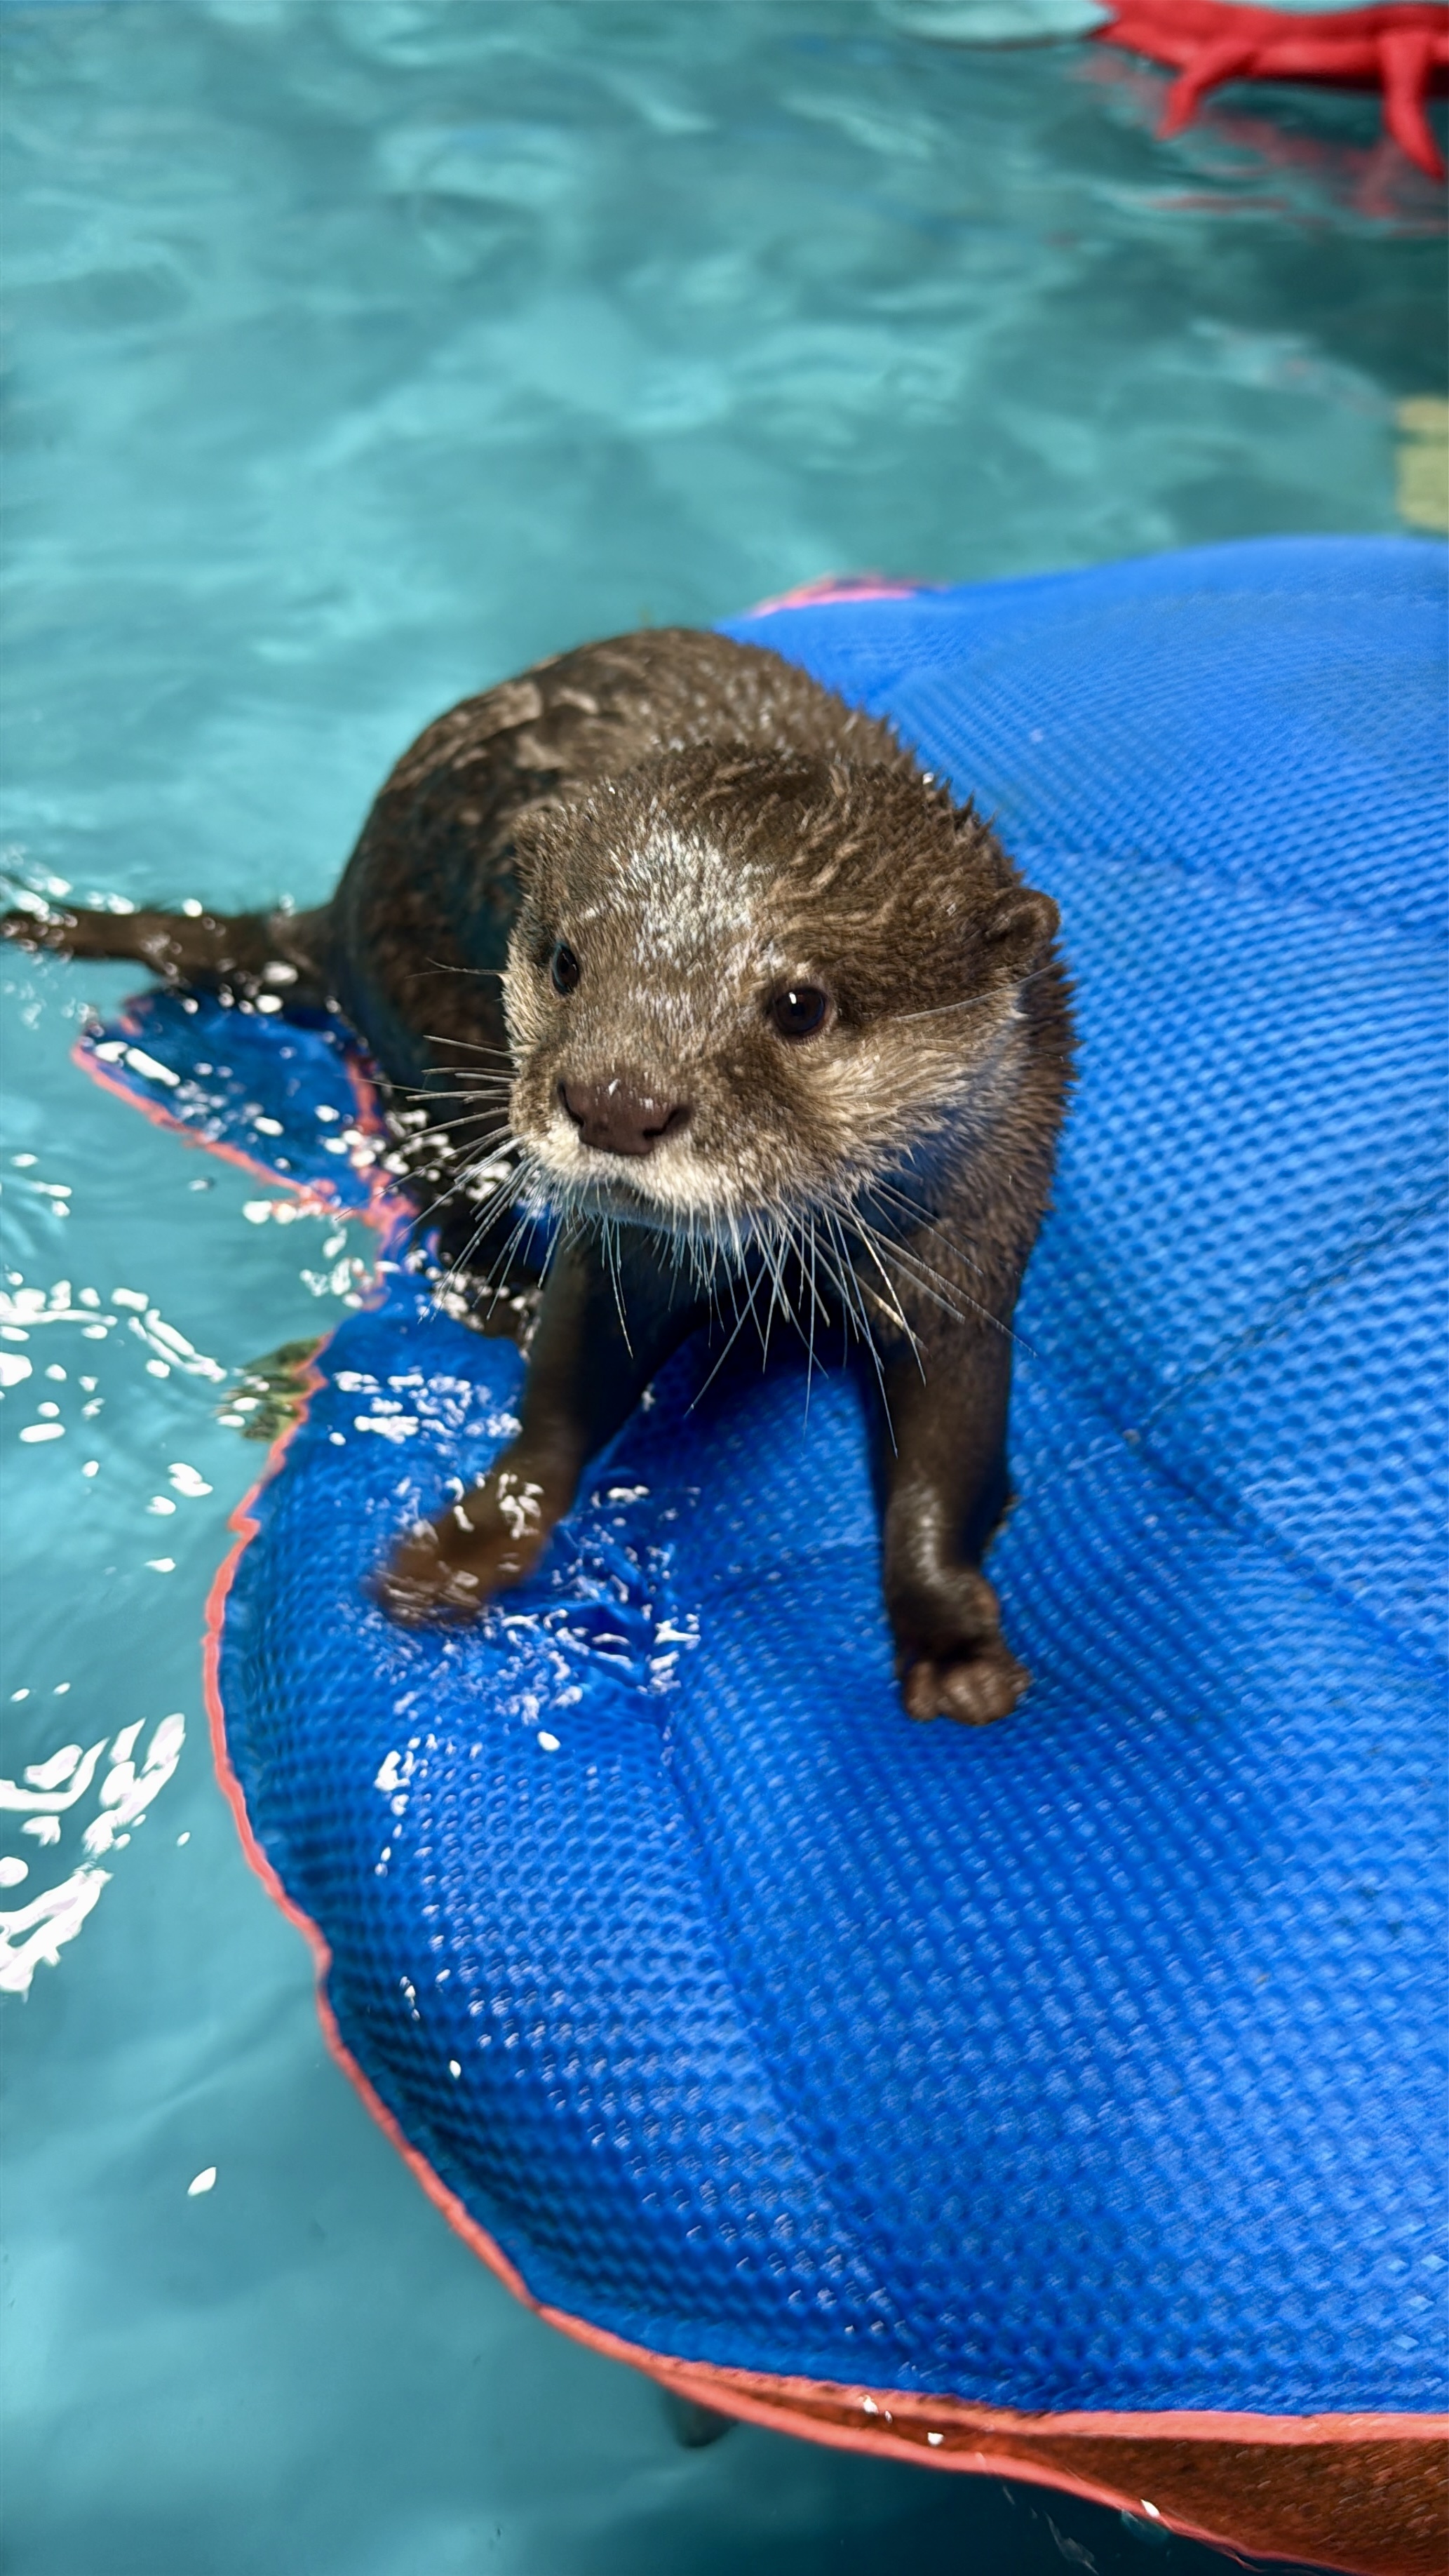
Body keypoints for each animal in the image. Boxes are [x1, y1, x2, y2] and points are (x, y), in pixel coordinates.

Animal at [2, 629, 1072, 1724]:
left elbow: (948, 1457)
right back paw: (499, 1290)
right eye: (565, 961)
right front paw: (473, 1543)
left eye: (800, 1004)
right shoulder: (623, 1259)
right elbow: (563, 1390)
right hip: (421, 1040)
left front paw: (952, 1646)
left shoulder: (973, 1237)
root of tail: (338, 909)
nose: (615, 1099)